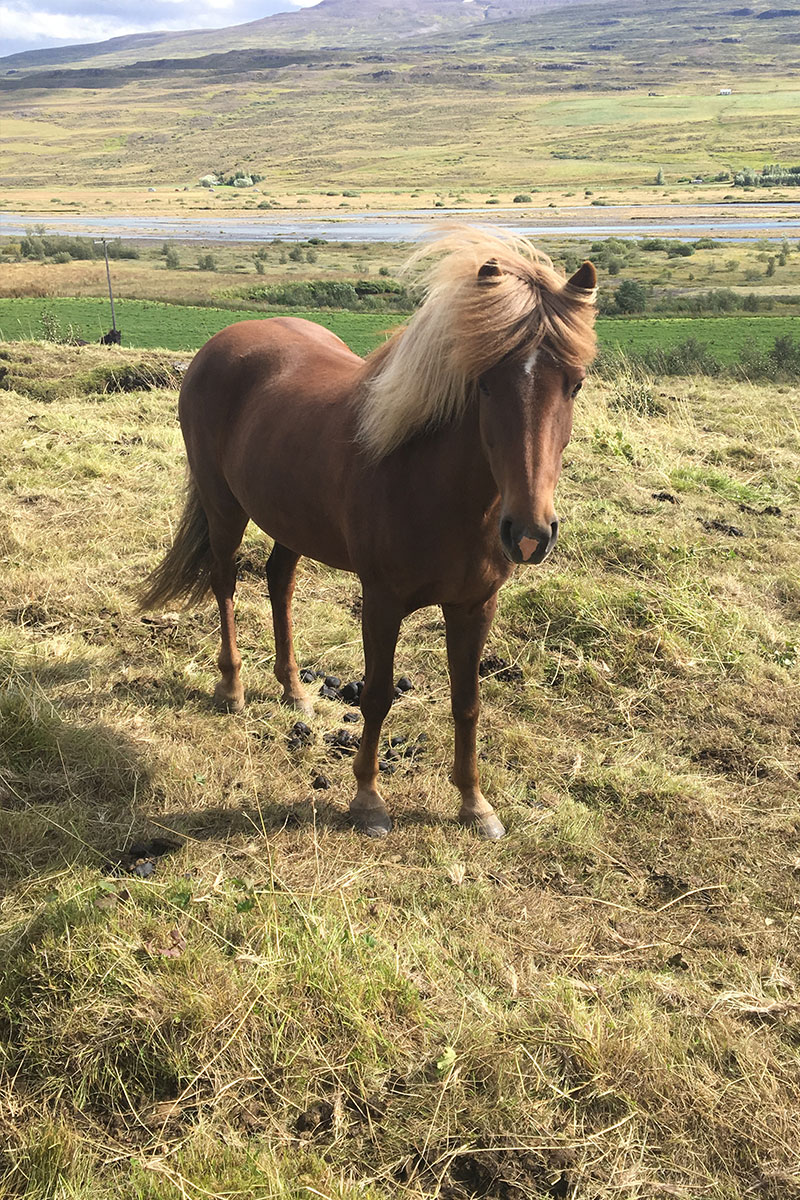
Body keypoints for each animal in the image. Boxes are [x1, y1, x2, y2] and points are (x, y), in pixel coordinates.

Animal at [140, 229, 597, 840]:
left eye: (575, 385)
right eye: (483, 385)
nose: (528, 534)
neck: (434, 485)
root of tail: (224, 340)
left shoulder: (476, 604)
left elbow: (467, 701)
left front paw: (475, 805)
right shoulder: (381, 601)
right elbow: (377, 696)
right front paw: (368, 799)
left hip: (291, 520)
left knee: (279, 583)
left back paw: (294, 690)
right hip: (224, 507)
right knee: (225, 584)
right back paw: (232, 688)